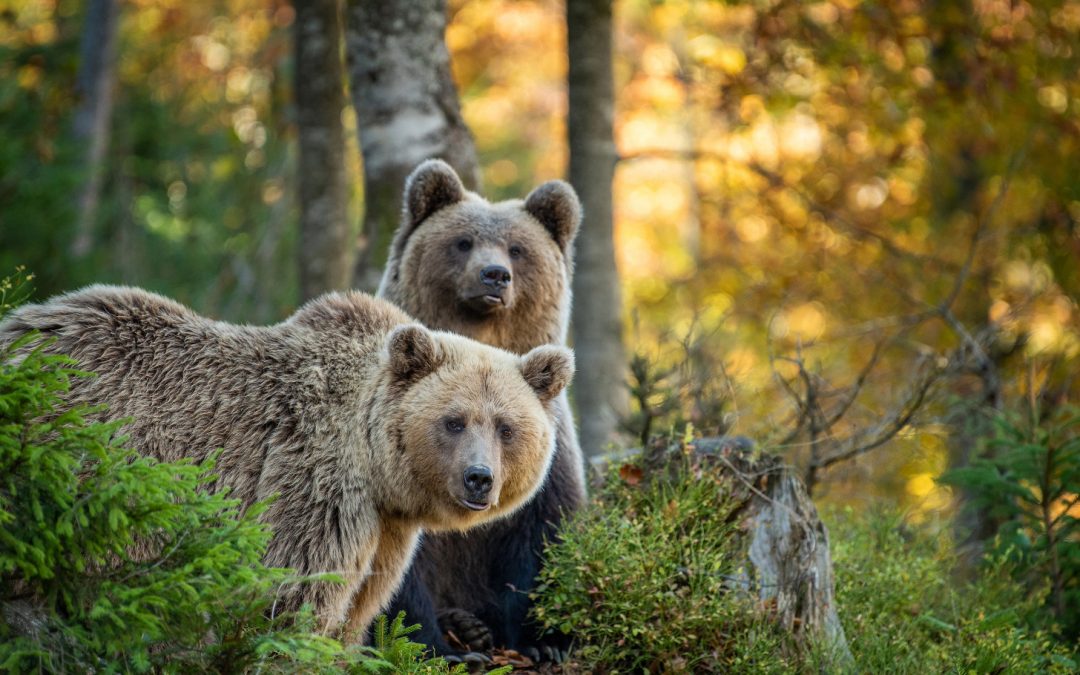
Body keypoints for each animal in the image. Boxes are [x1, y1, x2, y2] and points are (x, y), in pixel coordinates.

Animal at [0, 285, 574, 639]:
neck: (377, 468)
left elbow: (360, 606)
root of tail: (21, 327)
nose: (479, 479)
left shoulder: (387, 530)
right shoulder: (314, 481)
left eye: (505, 427)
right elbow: (294, 592)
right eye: (454, 421)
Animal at [373, 159, 585, 662]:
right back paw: (464, 630)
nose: (494, 275)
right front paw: (432, 646)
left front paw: (546, 642)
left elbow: (543, 535)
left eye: (517, 248)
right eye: (463, 241)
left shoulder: (549, 451)